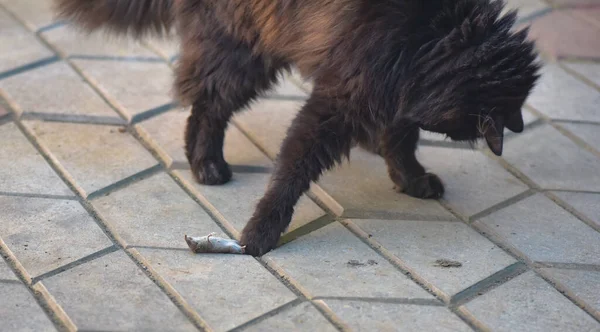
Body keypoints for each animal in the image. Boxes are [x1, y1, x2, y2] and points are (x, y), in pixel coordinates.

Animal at [56, 0, 540, 256]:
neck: (436, 35)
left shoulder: (392, 89)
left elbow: (401, 139)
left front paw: (411, 178)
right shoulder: (341, 99)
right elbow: (293, 170)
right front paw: (260, 231)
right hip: (246, 53)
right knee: (207, 105)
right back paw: (206, 164)